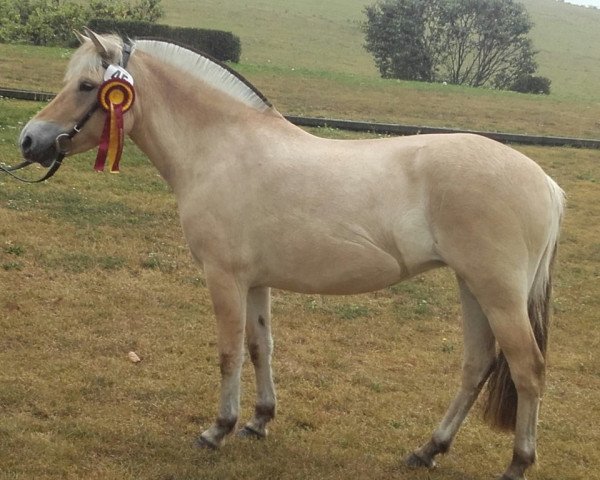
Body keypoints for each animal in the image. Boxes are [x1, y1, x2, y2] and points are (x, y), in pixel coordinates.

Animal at [18, 31, 564, 480]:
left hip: (496, 292)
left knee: (527, 369)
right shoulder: (255, 281)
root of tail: (545, 183)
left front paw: (217, 429)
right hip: (472, 286)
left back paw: (517, 464)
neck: (222, 148)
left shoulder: (224, 277)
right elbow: (261, 347)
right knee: (477, 365)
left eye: (88, 85)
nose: (29, 140)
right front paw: (259, 421)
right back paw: (427, 450)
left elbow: (229, 352)